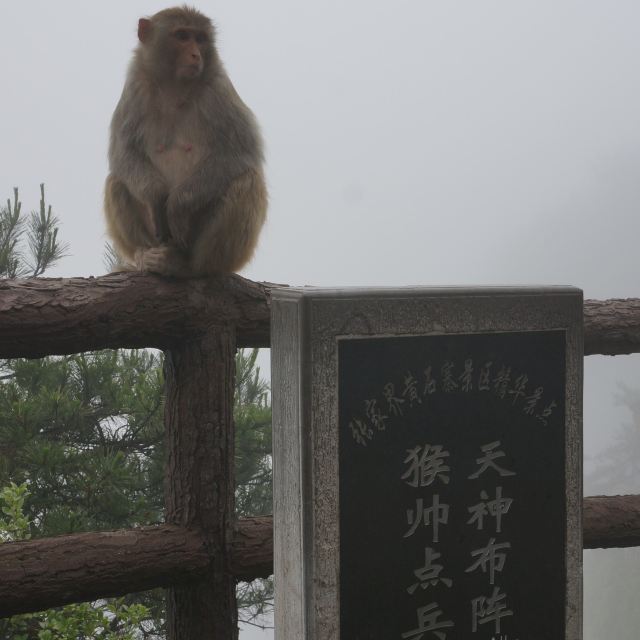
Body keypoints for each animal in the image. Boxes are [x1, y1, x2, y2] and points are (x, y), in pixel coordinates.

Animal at [104, 5, 266, 276]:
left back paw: (189, 266)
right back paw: (145, 257)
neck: (175, 86)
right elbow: (123, 151)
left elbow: (241, 151)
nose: (195, 54)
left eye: (200, 39)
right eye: (182, 36)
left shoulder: (218, 88)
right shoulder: (136, 85)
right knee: (116, 180)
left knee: (247, 179)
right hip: (156, 237)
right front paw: (156, 195)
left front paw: (178, 206)